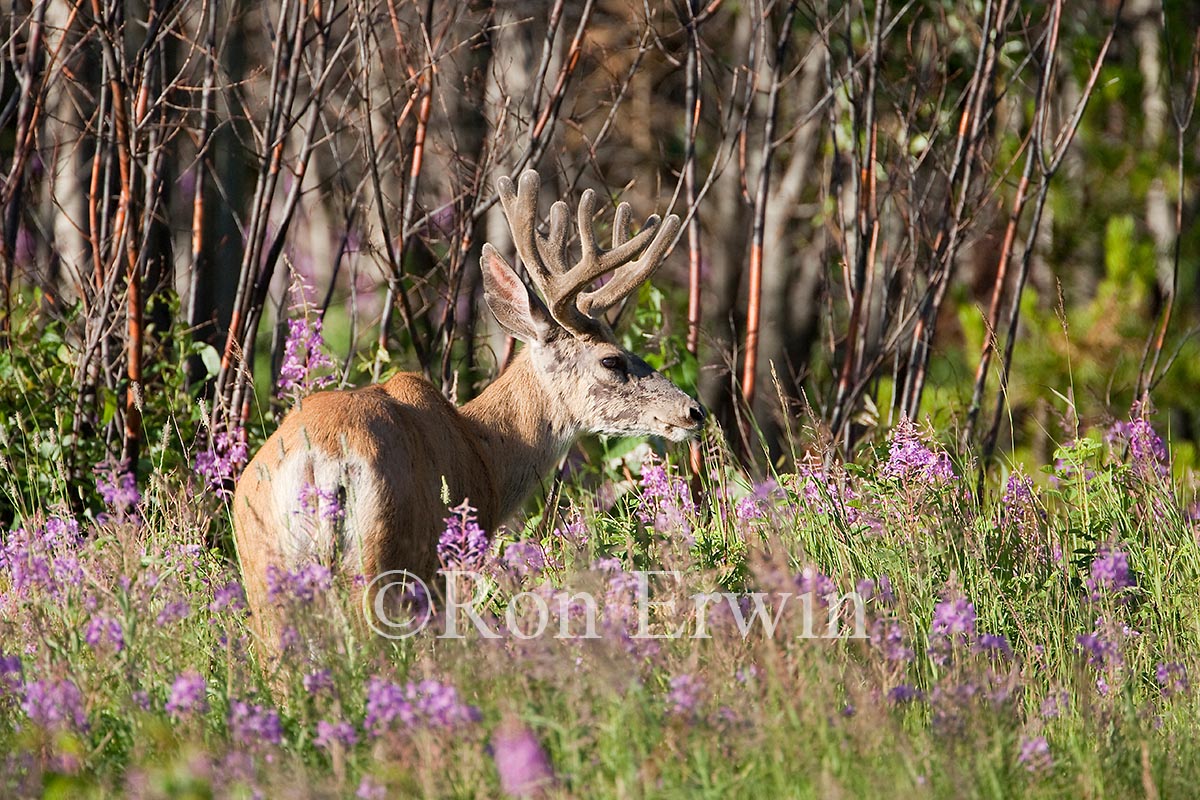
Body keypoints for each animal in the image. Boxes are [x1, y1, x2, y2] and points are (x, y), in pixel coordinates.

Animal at [231, 169, 705, 643]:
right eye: (611, 360)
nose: (693, 411)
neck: (486, 449)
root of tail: (323, 461)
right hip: (386, 551)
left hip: (263, 564)